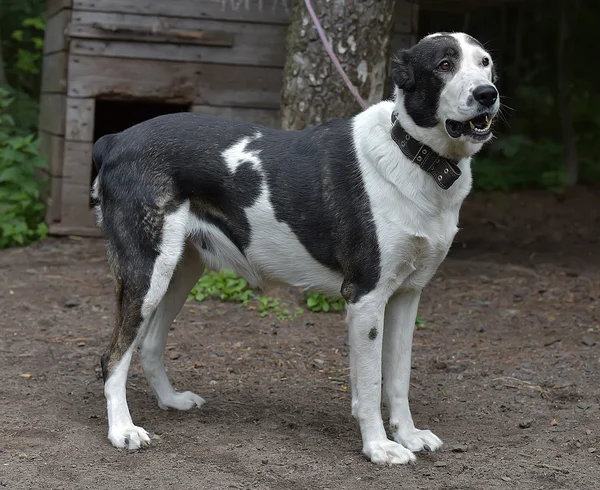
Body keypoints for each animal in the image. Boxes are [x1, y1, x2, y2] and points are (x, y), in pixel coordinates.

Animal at [91, 32, 500, 466]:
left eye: (485, 63)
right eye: (444, 65)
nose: (487, 94)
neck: (415, 156)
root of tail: (115, 140)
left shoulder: (407, 295)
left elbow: (398, 378)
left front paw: (407, 435)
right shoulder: (365, 296)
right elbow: (370, 384)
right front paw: (378, 447)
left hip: (180, 270)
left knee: (148, 343)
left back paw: (171, 400)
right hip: (147, 272)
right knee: (113, 356)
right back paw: (122, 431)